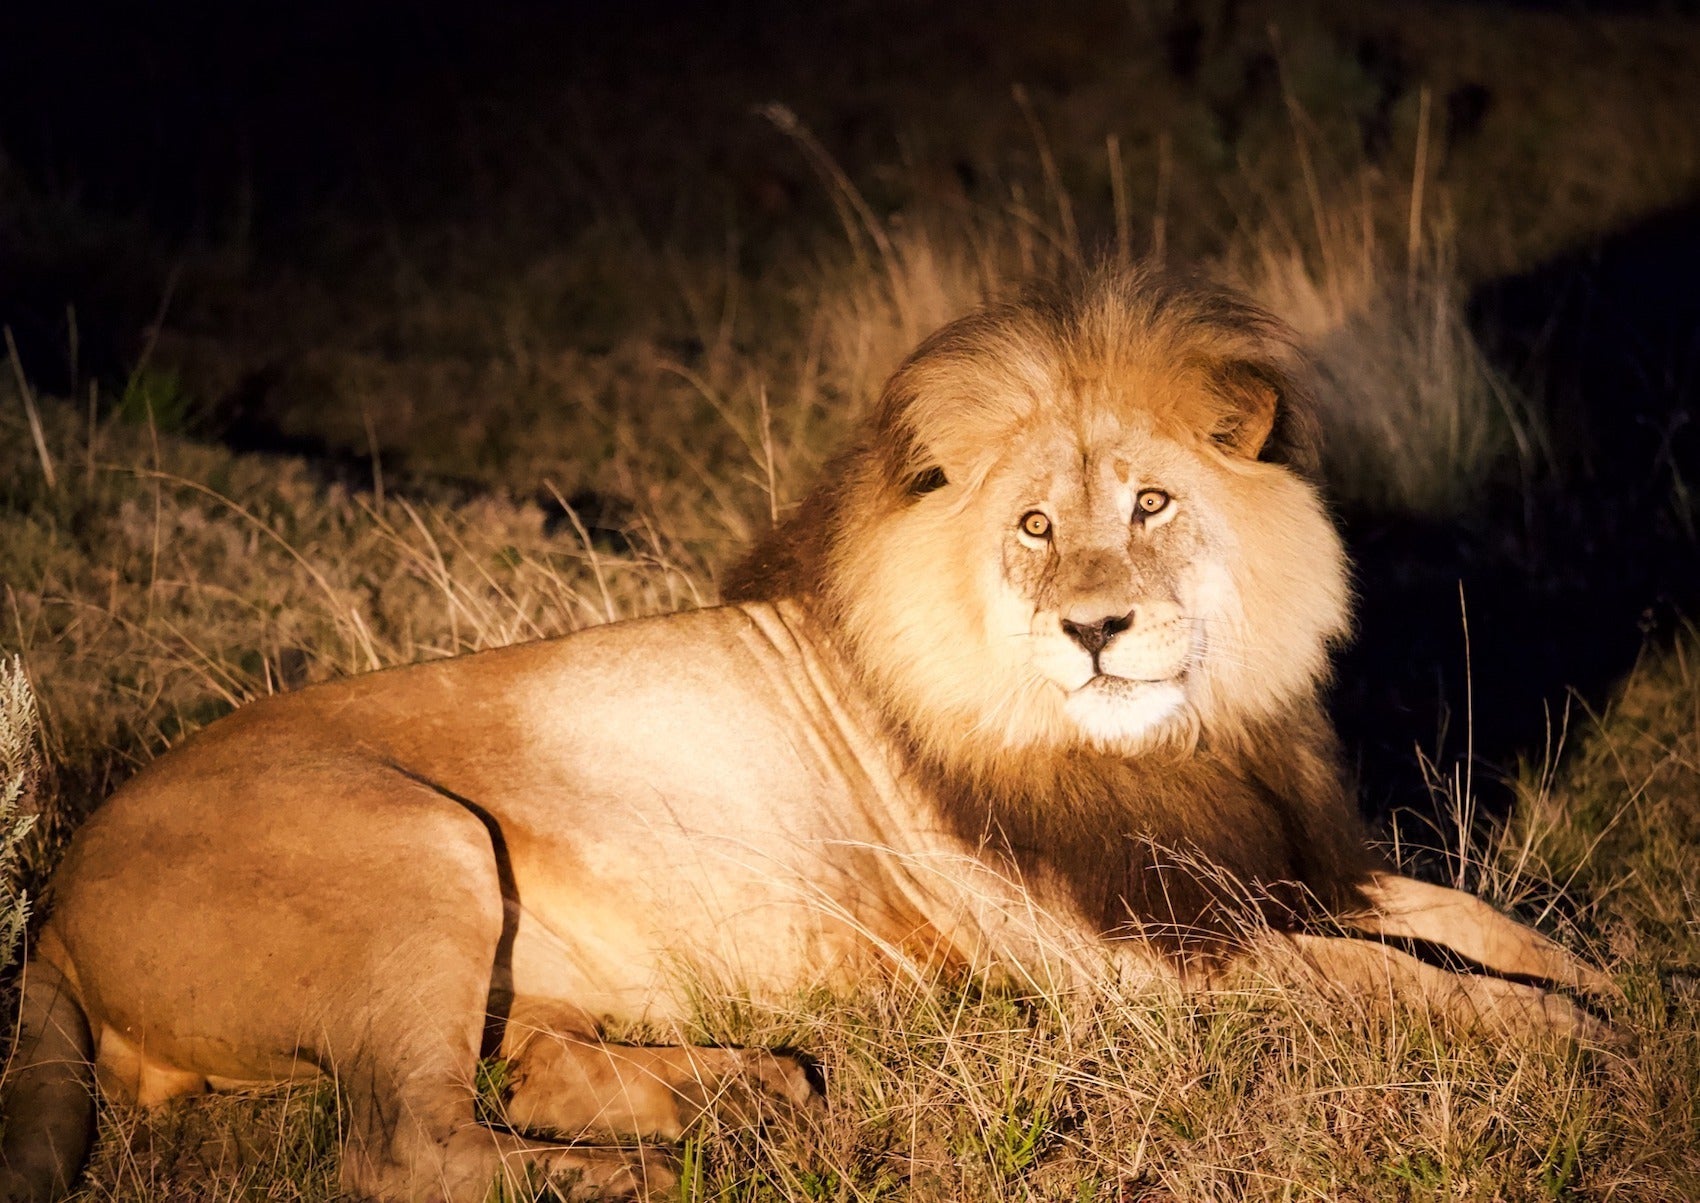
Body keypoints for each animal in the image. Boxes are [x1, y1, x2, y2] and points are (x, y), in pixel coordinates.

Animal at [0, 270, 1611, 1203]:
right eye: (1036, 526)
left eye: (1150, 503)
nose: (1095, 631)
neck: (1167, 741)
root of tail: (57, 898)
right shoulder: (1125, 958)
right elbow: (1376, 977)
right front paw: (1567, 1038)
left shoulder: (1259, 861)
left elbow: (1462, 918)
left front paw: (1610, 981)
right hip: (417, 842)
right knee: (404, 1153)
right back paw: (672, 1169)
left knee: (517, 1082)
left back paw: (749, 1099)